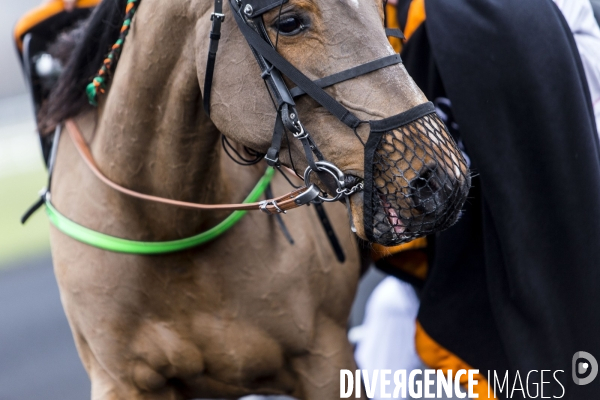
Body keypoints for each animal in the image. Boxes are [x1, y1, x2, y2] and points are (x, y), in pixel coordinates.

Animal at [35, 0, 468, 396]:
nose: (443, 180)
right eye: (289, 22)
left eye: (382, 10)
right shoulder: (121, 380)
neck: (169, 229)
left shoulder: (325, 360)